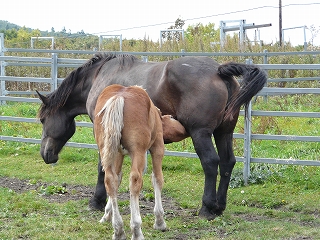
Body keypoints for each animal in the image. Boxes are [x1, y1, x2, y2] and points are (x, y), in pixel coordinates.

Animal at [37, 53, 268, 220]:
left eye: (42, 119)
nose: (45, 154)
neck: (98, 77)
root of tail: (219, 71)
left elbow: (103, 166)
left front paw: (97, 201)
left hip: (200, 133)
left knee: (211, 163)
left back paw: (206, 208)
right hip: (223, 133)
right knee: (227, 163)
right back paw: (219, 206)